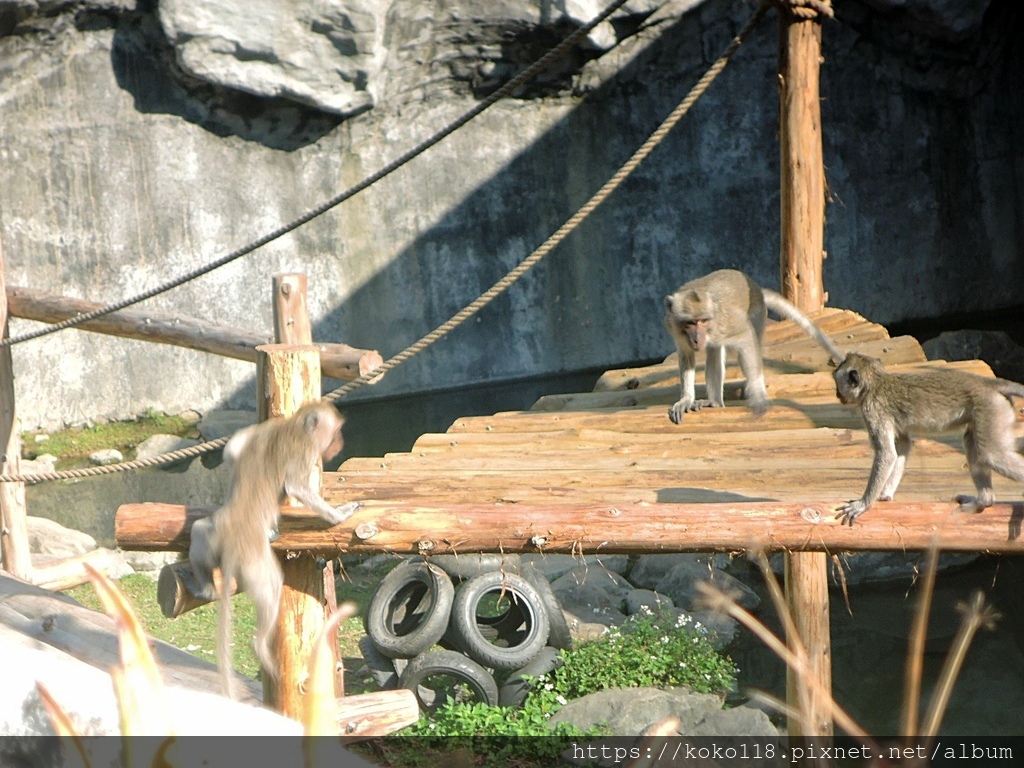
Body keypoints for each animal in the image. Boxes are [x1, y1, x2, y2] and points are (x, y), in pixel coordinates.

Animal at [187, 405, 360, 700]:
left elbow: (233, 448)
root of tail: (235, 541)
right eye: (336, 431)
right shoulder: (305, 450)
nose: (340, 442)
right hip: (255, 559)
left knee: (199, 530)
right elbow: (297, 488)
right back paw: (259, 646)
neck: (295, 425)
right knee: (270, 587)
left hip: (213, 534)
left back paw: (205, 586)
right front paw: (339, 515)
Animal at [659, 270, 843, 423]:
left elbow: (745, 336)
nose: (697, 339)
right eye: (690, 322)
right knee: (714, 351)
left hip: (758, 314)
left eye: (703, 321)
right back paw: (714, 402)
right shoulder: (674, 327)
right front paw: (686, 399)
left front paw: (757, 396)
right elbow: (686, 354)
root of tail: (756, 289)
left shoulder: (725, 323)